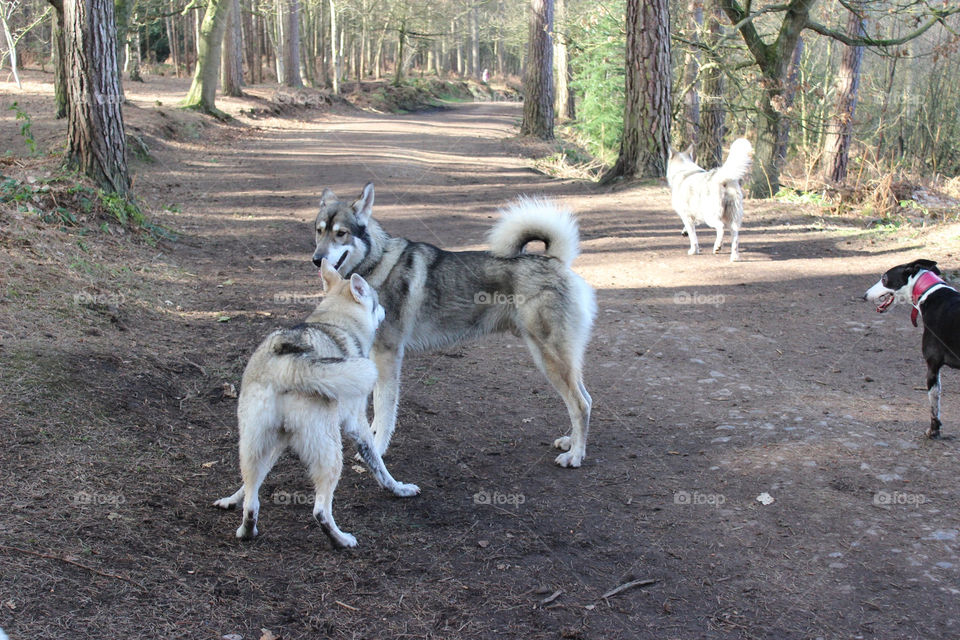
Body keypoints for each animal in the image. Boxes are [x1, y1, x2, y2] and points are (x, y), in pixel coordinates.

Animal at [310, 182, 592, 468]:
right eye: (319, 231)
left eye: (341, 233)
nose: (317, 259)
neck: (376, 264)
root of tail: (556, 261)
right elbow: (376, 414)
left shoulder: (388, 356)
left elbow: (385, 410)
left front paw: (377, 450)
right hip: (558, 359)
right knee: (586, 399)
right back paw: (570, 442)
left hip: (549, 358)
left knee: (580, 405)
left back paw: (575, 455)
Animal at [864, 258, 960, 438]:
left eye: (884, 278)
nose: (864, 295)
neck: (930, 292)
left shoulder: (932, 367)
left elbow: (934, 407)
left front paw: (933, 430)